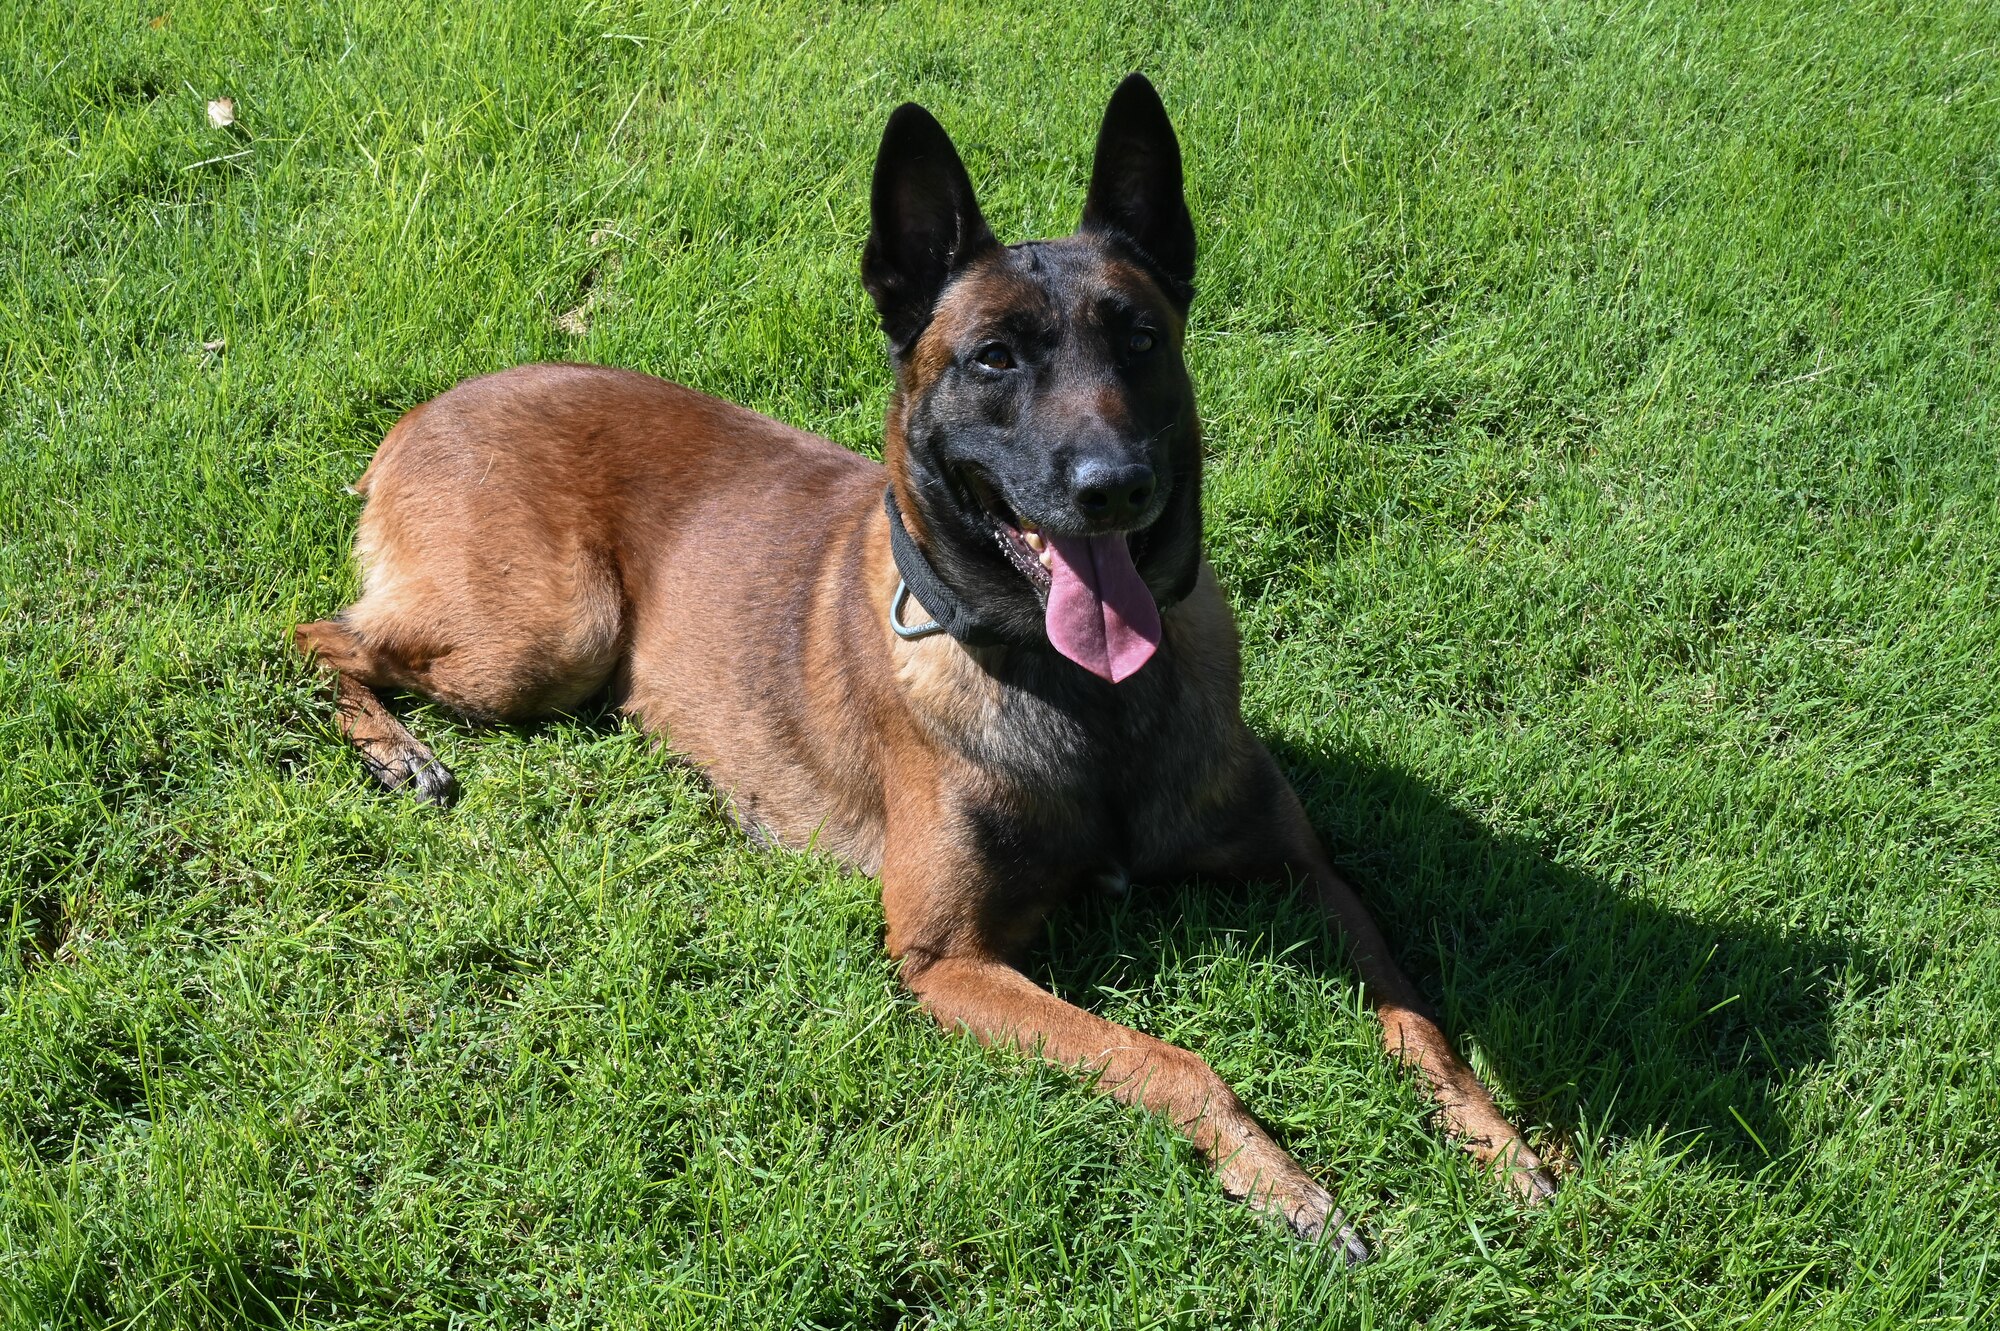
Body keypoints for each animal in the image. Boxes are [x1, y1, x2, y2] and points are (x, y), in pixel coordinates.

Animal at [292, 74, 1544, 1255]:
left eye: (1138, 339)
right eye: (992, 359)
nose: (1112, 485)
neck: (1083, 698)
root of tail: (426, 409)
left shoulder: (1302, 869)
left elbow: (1420, 1018)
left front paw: (1502, 1141)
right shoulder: (947, 958)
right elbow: (1167, 1056)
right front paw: (1284, 1180)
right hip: (552, 639)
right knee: (315, 633)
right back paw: (394, 750)